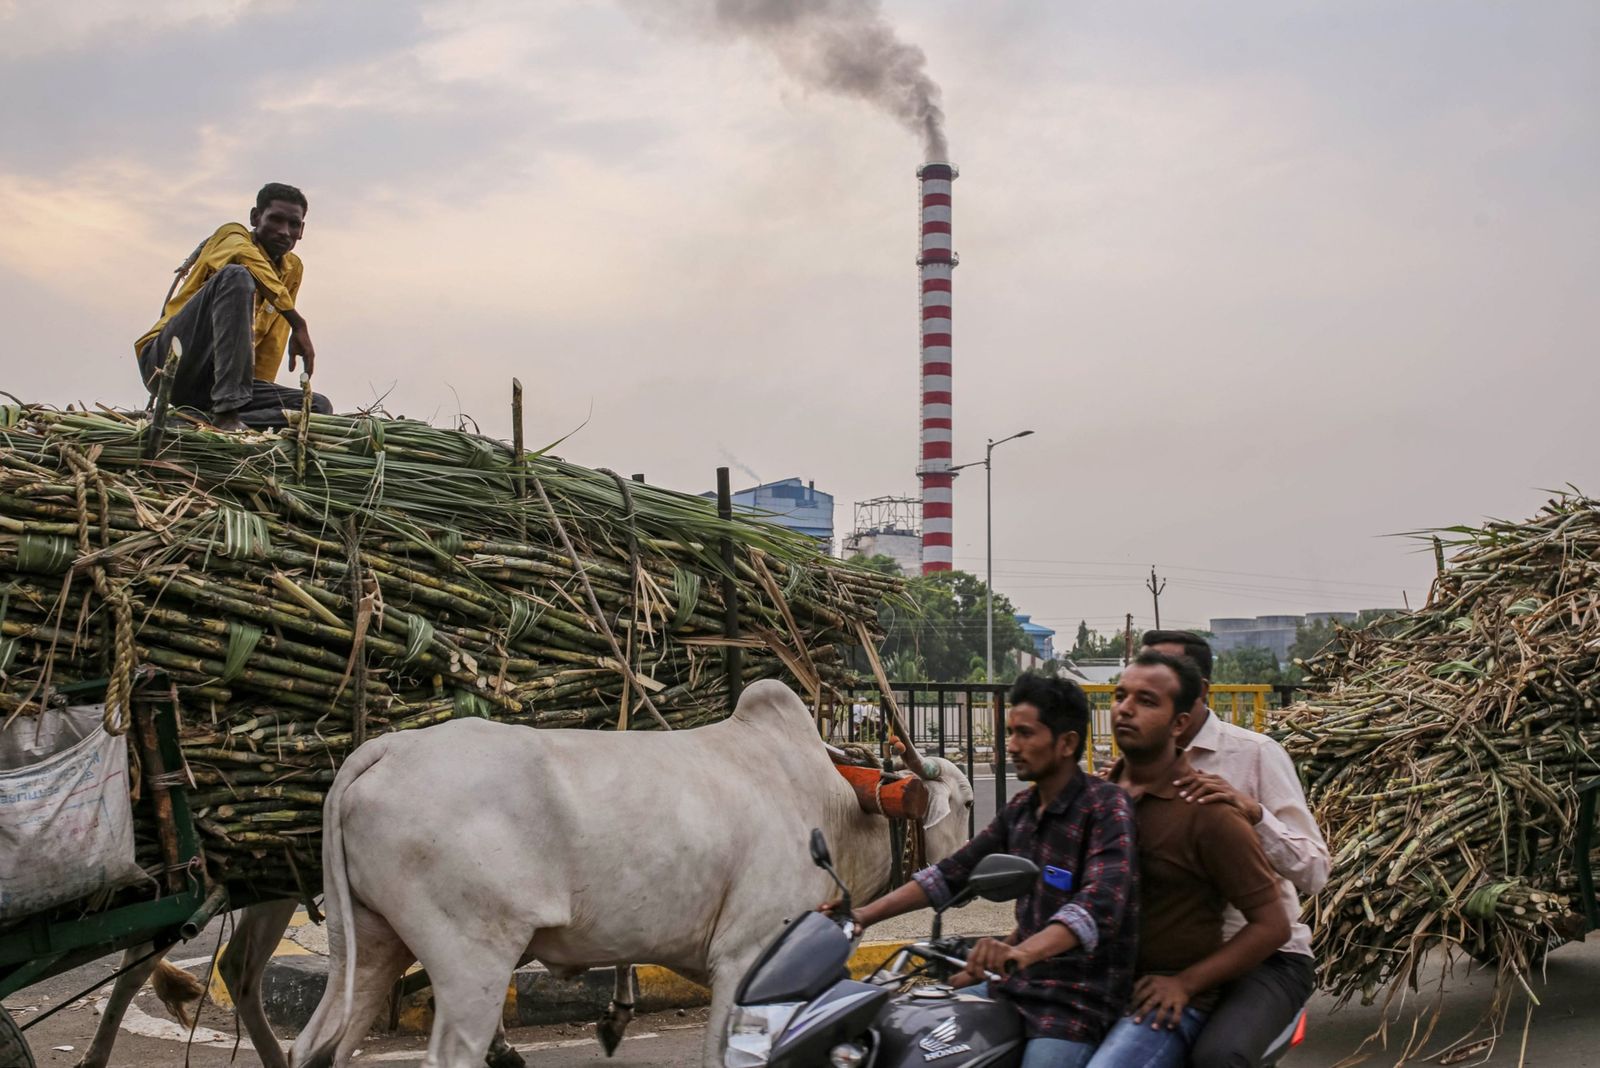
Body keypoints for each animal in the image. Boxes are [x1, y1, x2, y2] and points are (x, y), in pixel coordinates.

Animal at [288, 684, 966, 1068]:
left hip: (369, 943)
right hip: (471, 957)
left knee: (316, 1045)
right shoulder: (746, 957)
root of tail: (389, 747)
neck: (835, 800)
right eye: (962, 802)